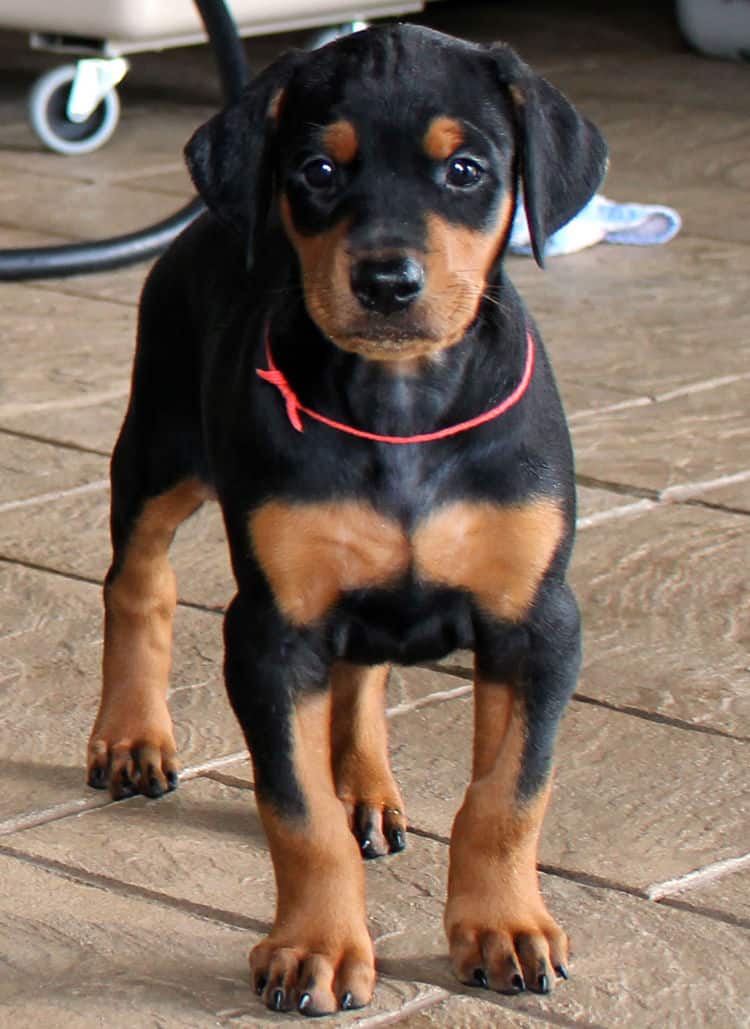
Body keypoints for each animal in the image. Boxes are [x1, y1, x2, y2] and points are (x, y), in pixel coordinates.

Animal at [84, 24, 604, 1020]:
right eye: (319, 170)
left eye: (466, 169)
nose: (388, 280)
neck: (400, 406)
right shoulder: (271, 631)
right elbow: (297, 810)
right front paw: (315, 948)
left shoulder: (538, 622)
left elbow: (508, 794)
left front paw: (504, 927)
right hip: (159, 446)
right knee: (137, 580)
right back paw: (132, 735)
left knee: (362, 672)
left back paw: (367, 786)